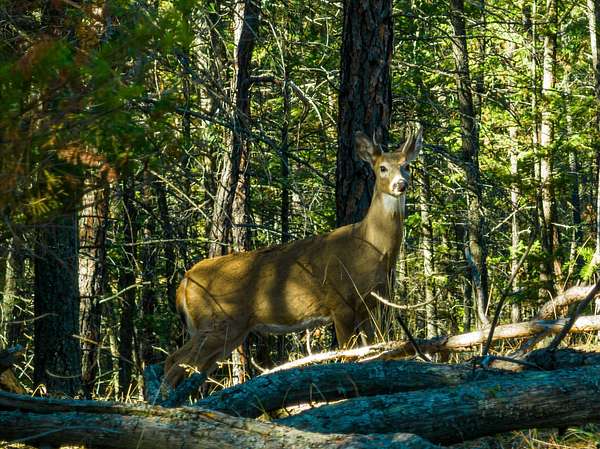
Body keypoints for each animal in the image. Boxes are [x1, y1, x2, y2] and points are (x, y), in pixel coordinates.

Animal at [164, 123, 423, 386]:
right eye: (382, 168)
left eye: (406, 165)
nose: (401, 184)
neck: (369, 248)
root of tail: (184, 282)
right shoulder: (340, 302)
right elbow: (348, 356)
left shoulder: (368, 306)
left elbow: (371, 351)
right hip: (216, 321)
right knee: (174, 362)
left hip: (228, 330)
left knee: (189, 368)